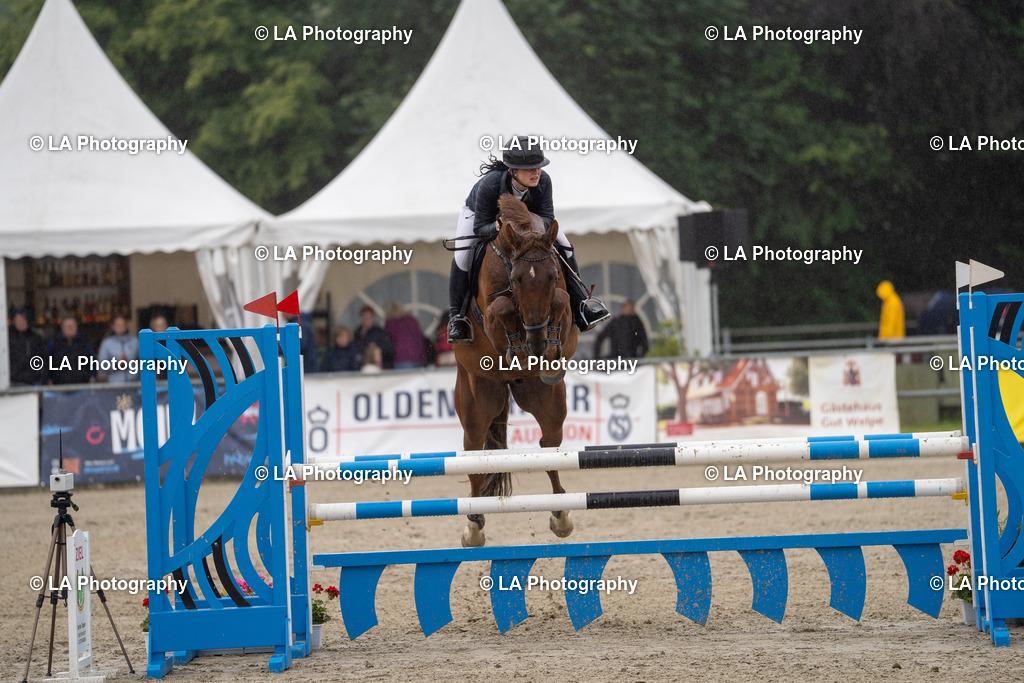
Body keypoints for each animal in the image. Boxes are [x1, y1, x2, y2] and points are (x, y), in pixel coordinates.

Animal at [453, 193, 579, 547]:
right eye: (516, 280)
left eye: (552, 276)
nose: (536, 341)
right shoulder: (492, 316)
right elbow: (503, 306)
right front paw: (519, 346)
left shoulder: (563, 310)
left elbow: (561, 300)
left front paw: (546, 348)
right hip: (477, 402)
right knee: (475, 453)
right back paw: (474, 526)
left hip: (548, 402)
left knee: (549, 447)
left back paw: (561, 514)